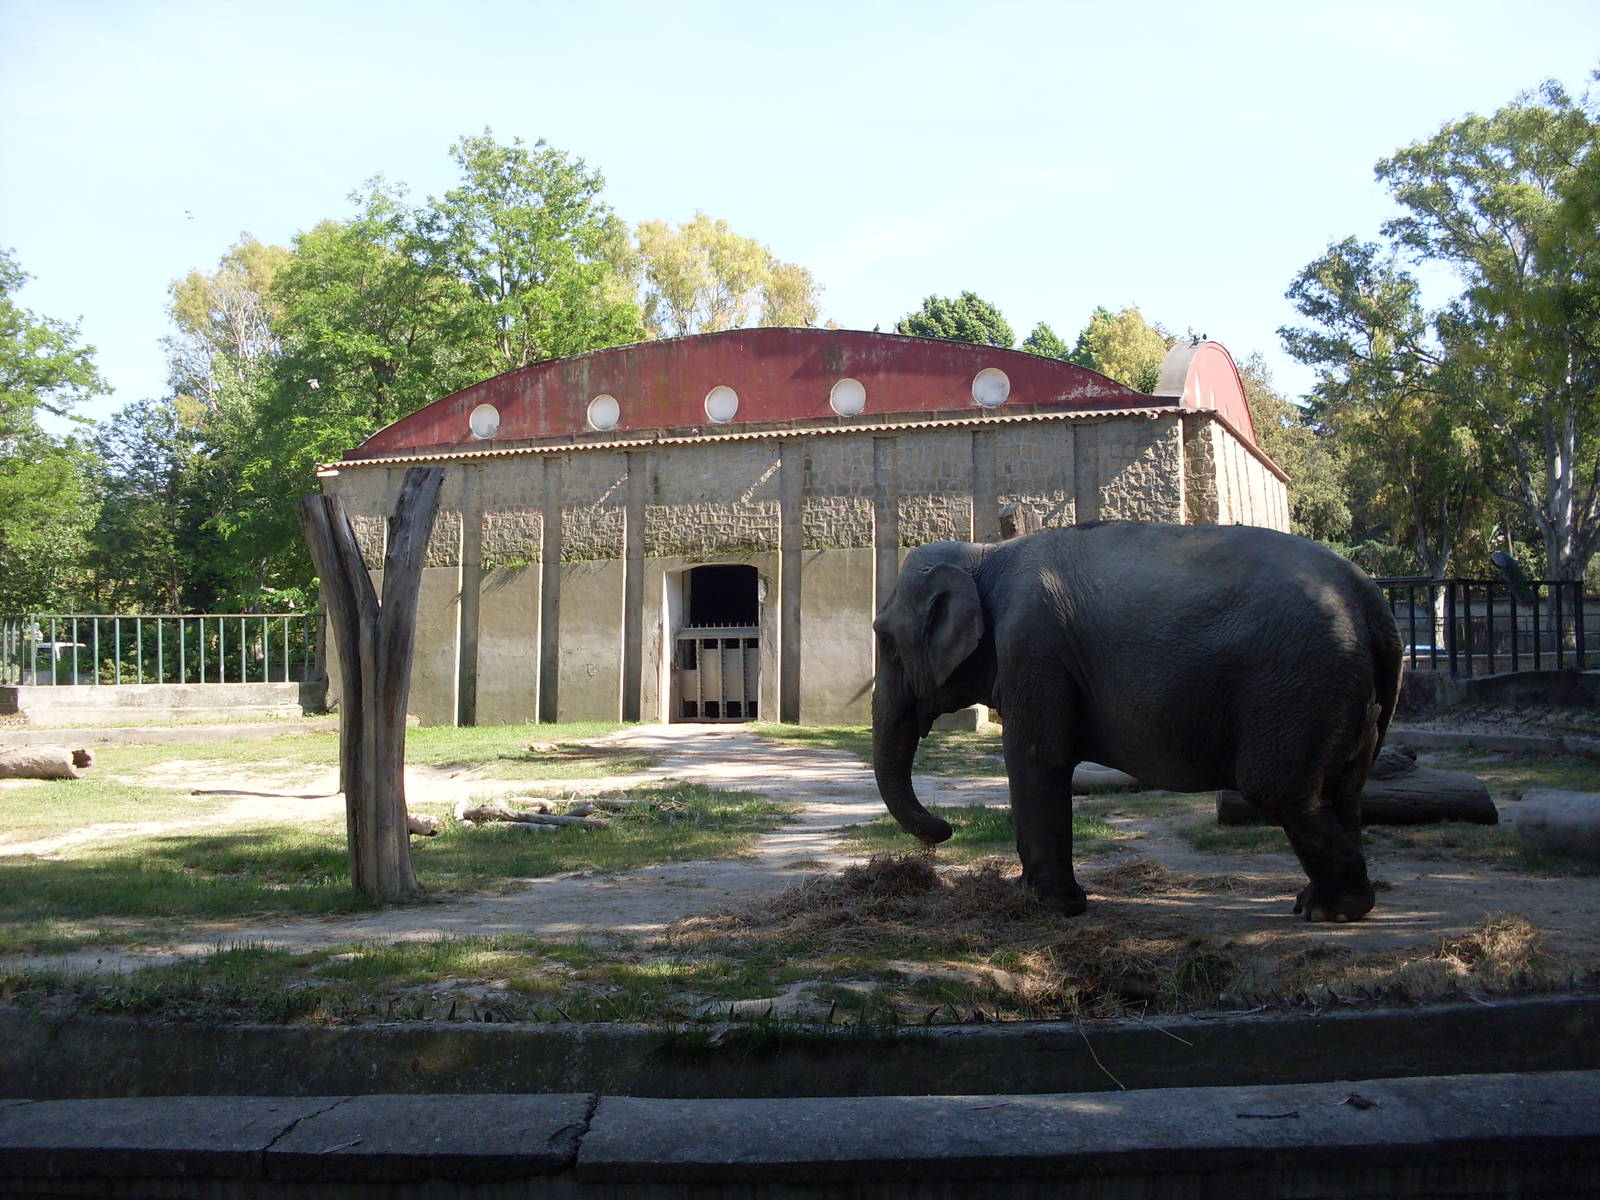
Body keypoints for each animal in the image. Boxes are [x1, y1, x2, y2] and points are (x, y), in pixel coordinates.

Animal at [871, 521, 1403, 923]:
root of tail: (1370, 596)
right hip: (1345, 695)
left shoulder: (1032, 648)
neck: (984, 553)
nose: (943, 832)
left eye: (885, 641)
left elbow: (1037, 759)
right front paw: (1038, 897)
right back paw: (1323, 905)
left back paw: (1331, 911)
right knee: (1342, 790)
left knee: (1279, 788)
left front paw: (1051, 907)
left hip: (1297, 681)